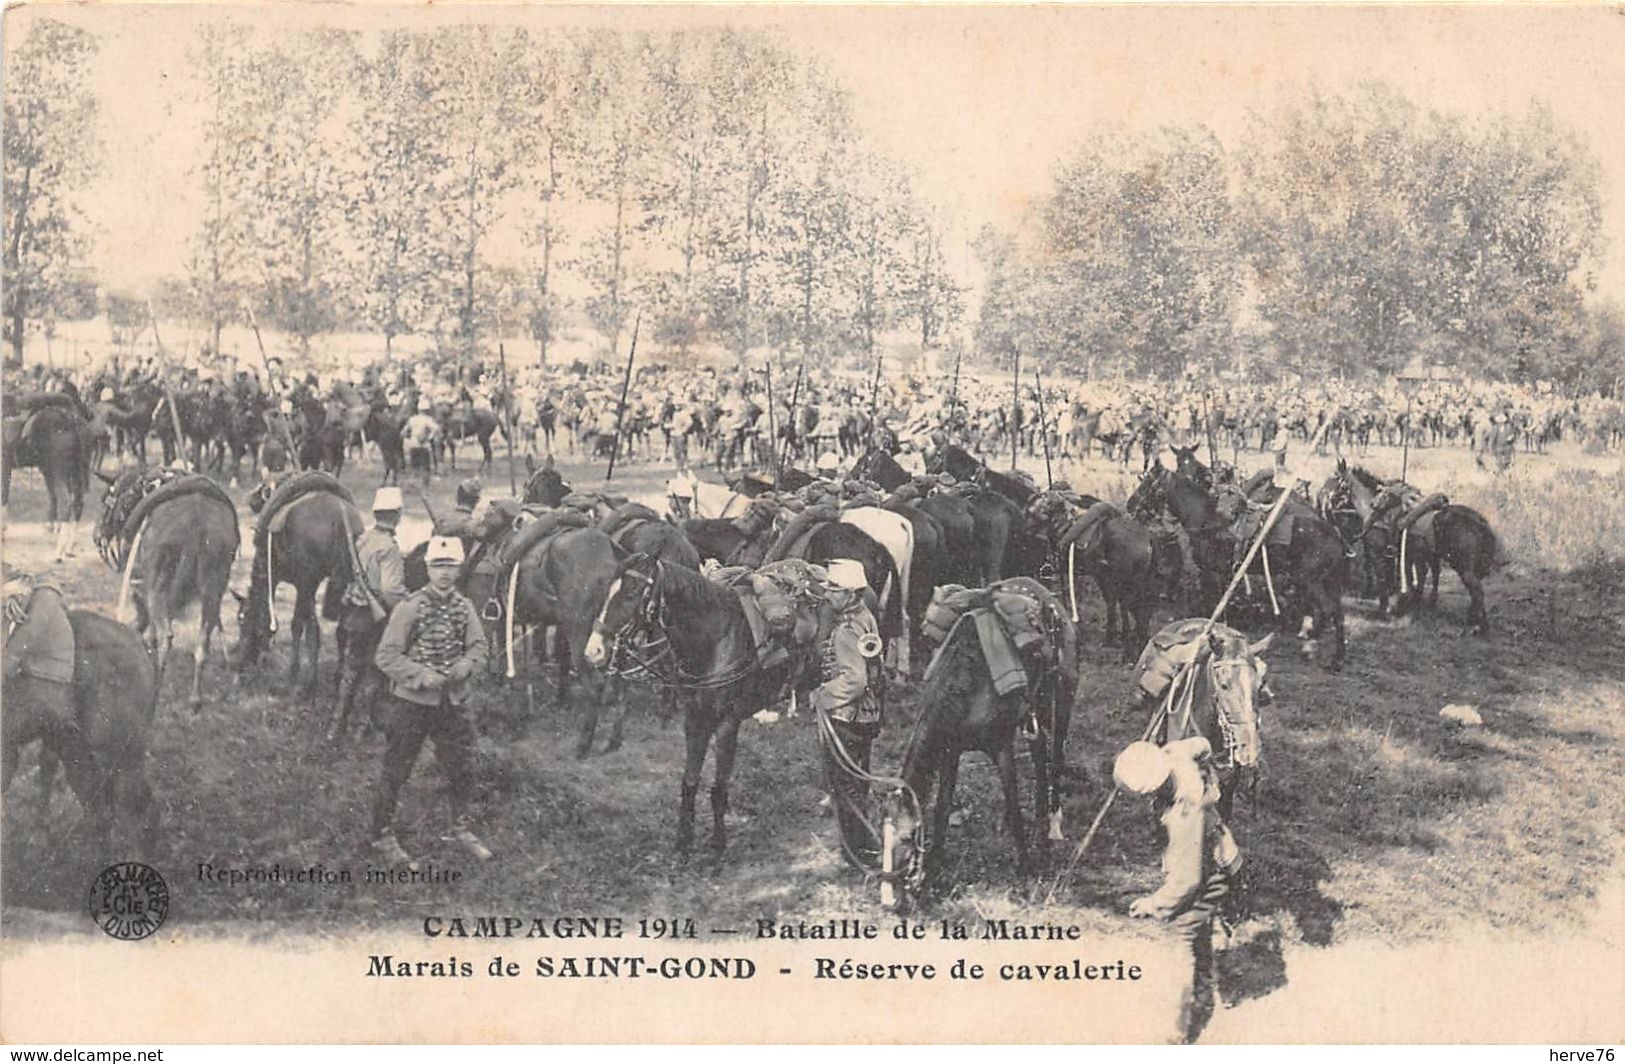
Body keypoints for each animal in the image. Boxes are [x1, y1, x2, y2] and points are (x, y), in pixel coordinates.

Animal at [94, 471, 237, 708]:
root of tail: (198, 518)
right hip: (212, 590)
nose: (96, 535)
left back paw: (156, 688)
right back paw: (195, 698)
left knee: (166, 635)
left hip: (158, 589)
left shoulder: (143, 588)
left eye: (106, 500)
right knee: (203, 642)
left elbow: (149, 630)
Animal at [585, 552, 825, 851]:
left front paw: (718, 845)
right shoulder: (695, 719)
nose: (593, 651)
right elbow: (689, 782)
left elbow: (718, 789)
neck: (716, 639)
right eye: (607, 590)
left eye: (631, 592)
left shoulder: (727, 725)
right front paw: (683, 842)